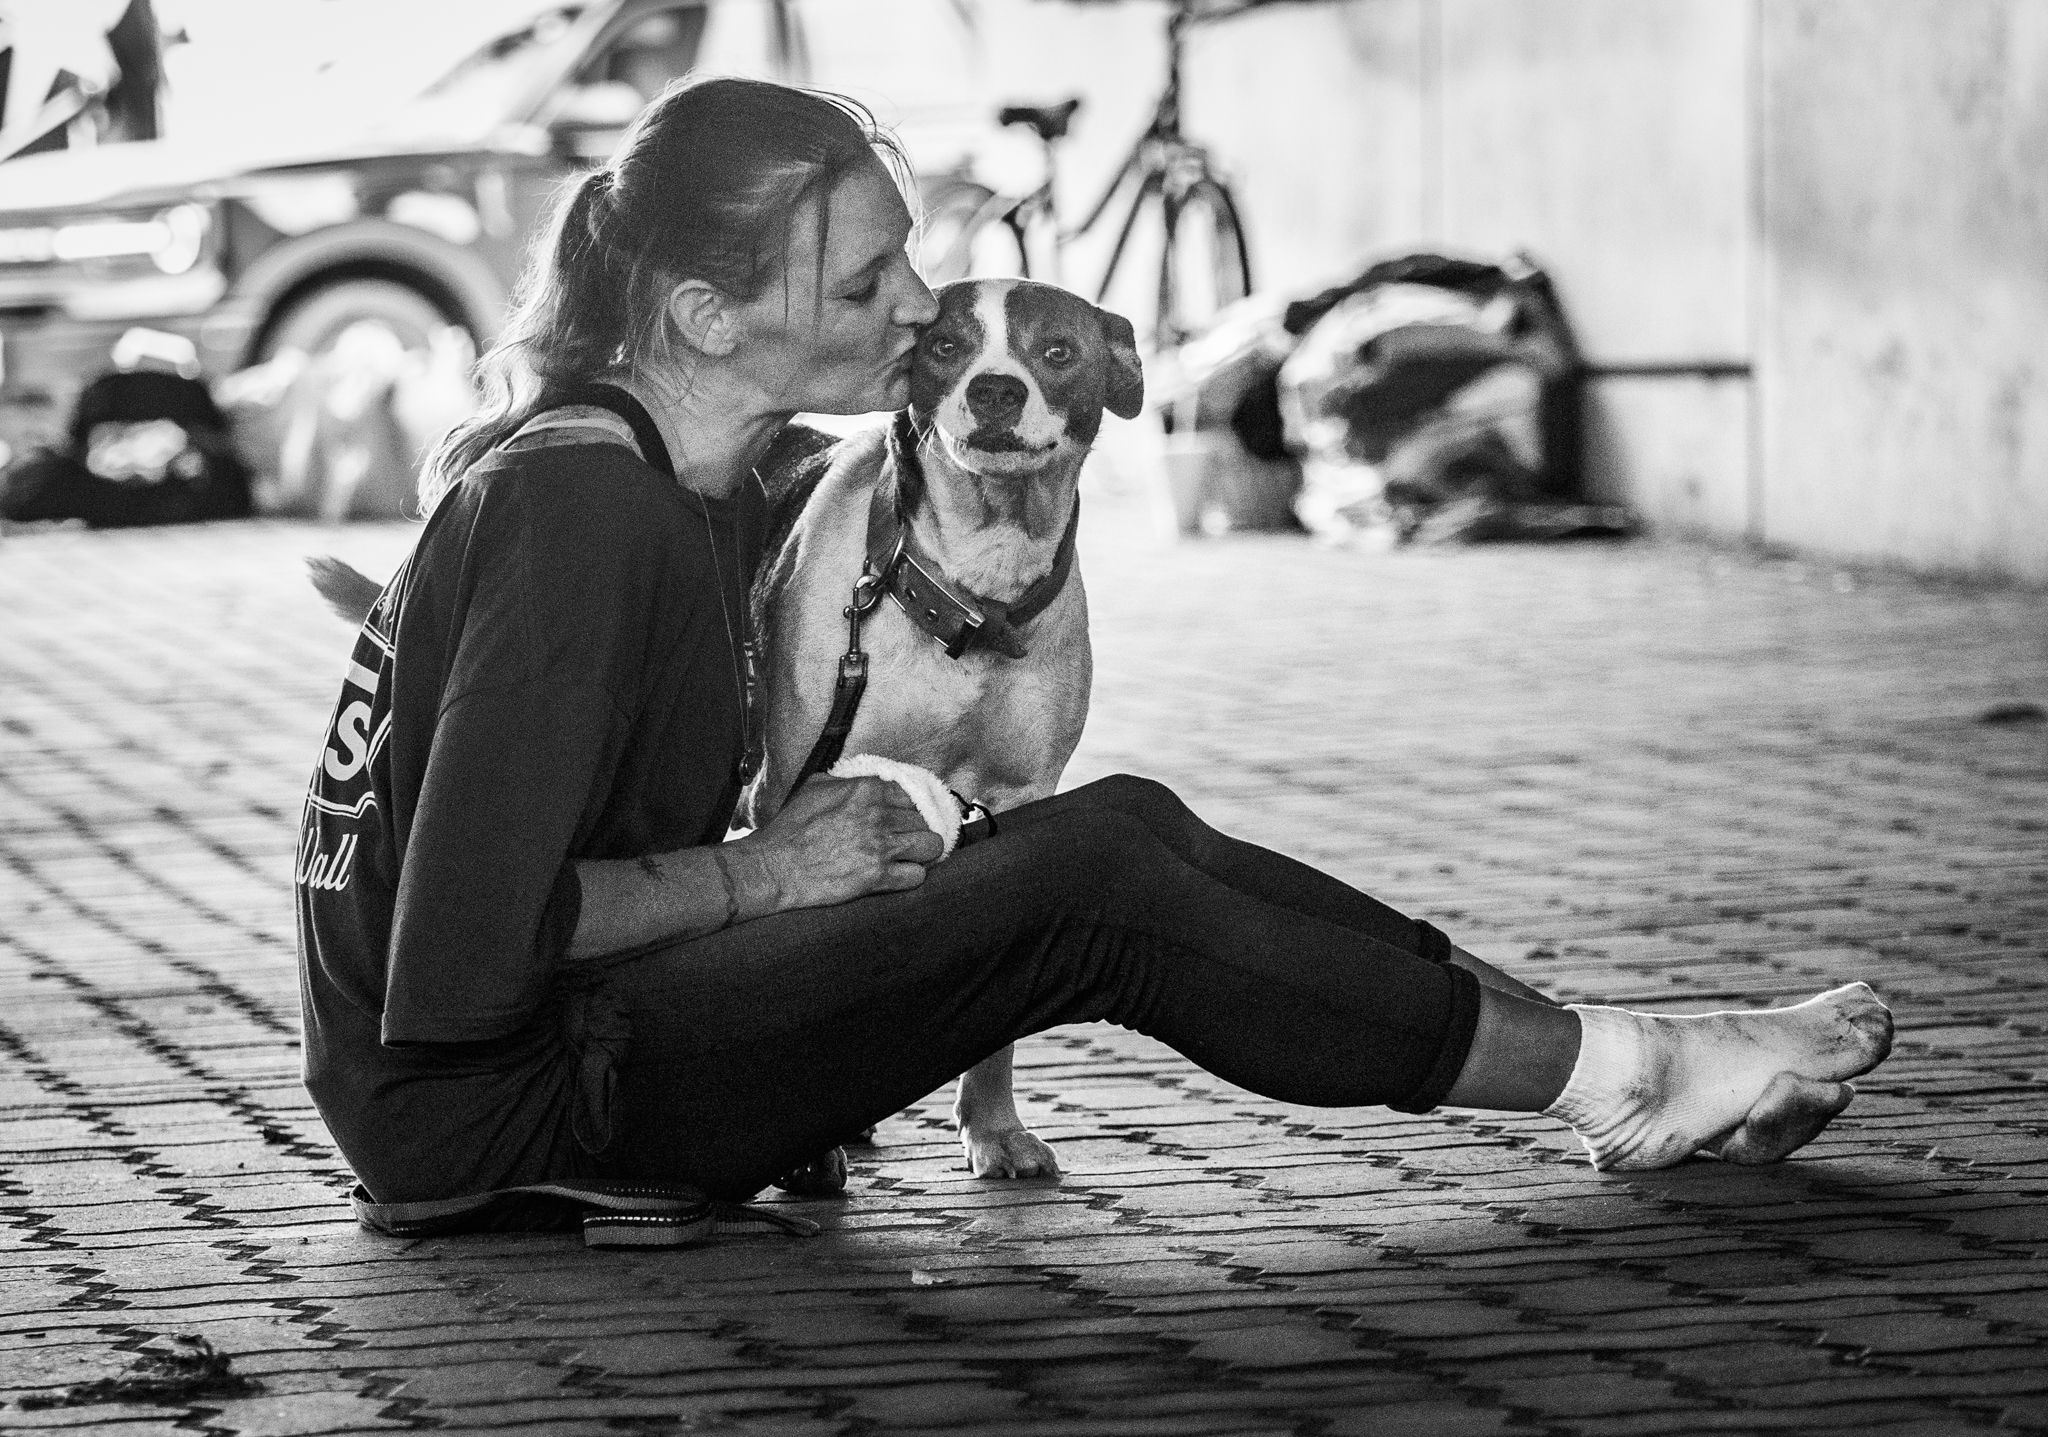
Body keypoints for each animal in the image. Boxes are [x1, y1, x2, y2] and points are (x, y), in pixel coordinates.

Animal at [745, 278, 1146, 1179]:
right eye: (945, 347)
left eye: (1057, 351)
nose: (995, 390)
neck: (968, 590)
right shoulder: (799, 786)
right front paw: (809, 1151)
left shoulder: (1023, 796)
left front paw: (995, 1128)